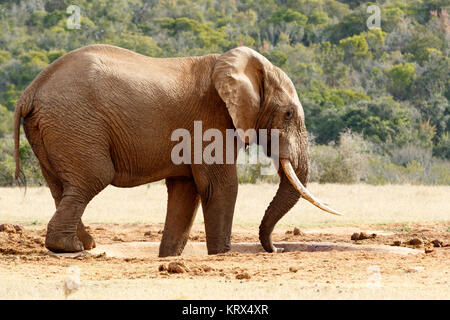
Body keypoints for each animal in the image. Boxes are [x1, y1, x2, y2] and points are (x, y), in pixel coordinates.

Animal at [14, 44, 342, 258]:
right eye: (288, 114)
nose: (276, 248)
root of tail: (30, 90)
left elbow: (187, 190)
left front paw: (169, 257)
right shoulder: (212, 118)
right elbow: (219, 185)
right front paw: (221, 255)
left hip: (55, 129)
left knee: (62, 187)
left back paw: (85, 244)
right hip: (75, 122)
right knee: (93, 177)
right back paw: (71, 248)